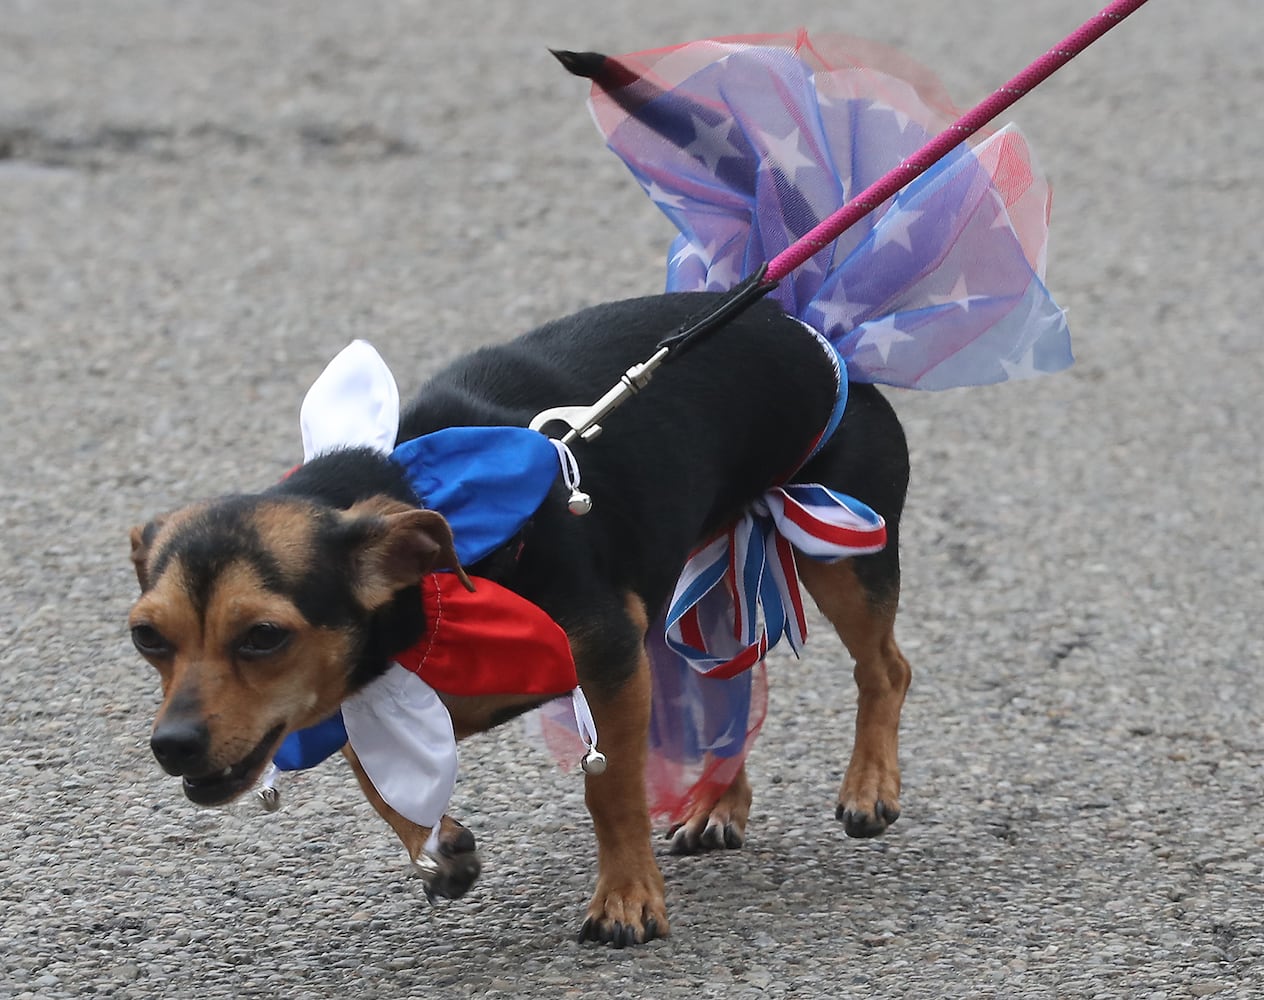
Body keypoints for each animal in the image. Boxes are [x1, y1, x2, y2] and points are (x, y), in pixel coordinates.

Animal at [128, 289, 915, 945]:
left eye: (264, 636)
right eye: (147, 637)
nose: (171, 744)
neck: (436, 587)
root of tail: (803, 321)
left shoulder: (610, 662)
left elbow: (611, 792)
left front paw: (627, 900)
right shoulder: (361, 694)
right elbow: (383, 788)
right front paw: (438, 850)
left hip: (839, 552)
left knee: (886, 668)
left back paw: (868, 786)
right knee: (733, 685)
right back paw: (721, 800)